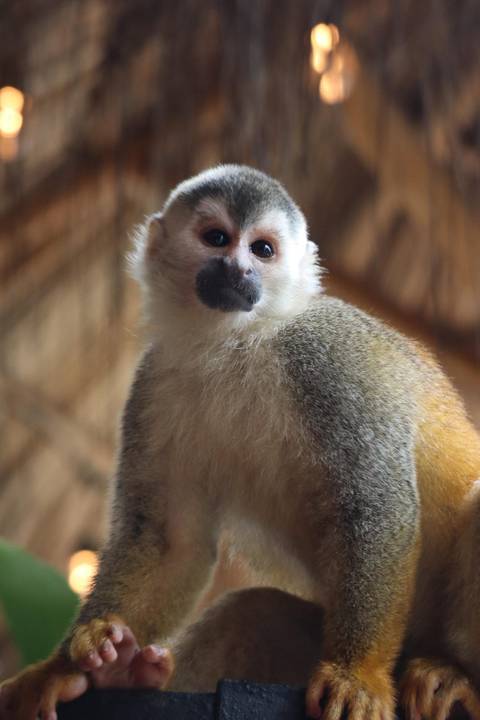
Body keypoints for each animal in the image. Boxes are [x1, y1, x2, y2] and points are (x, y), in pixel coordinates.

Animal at [1, 164, 480, 720]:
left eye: (263, 250)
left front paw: (356, 676)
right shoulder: (155, 381)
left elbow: (374, 505)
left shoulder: (326, 361)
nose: (237, 269)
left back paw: (457, 675)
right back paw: (128, 673)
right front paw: (66, 671)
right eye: (217, 238)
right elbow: (171, 539)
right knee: (250, 613)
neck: (237, 341)